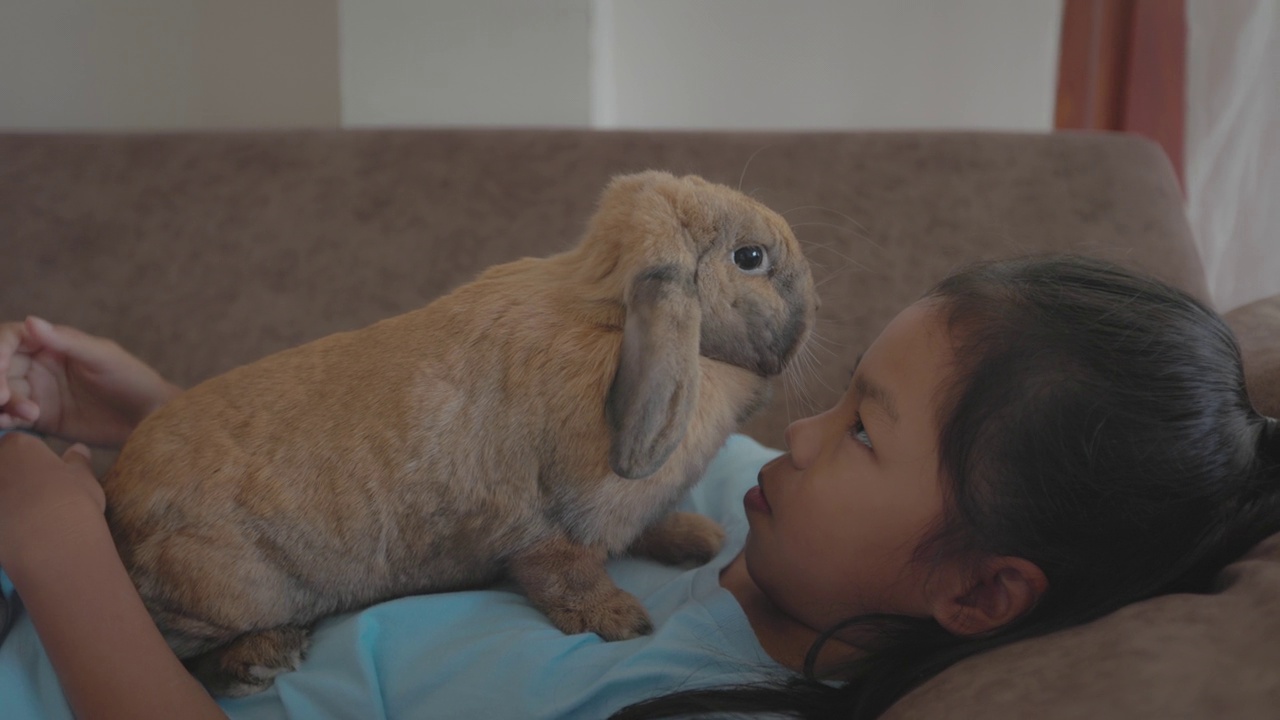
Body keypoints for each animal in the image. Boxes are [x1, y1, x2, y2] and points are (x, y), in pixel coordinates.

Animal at [102, 169, 819, 696]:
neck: (608, 319)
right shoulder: (545, 530)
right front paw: (620, 622)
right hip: (230, 593)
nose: (813, 307)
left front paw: (698, 538)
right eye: (750, 258)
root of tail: (117, 506)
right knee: (178, 650)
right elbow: (564, 576)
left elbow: (647, 527)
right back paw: (262, 658)